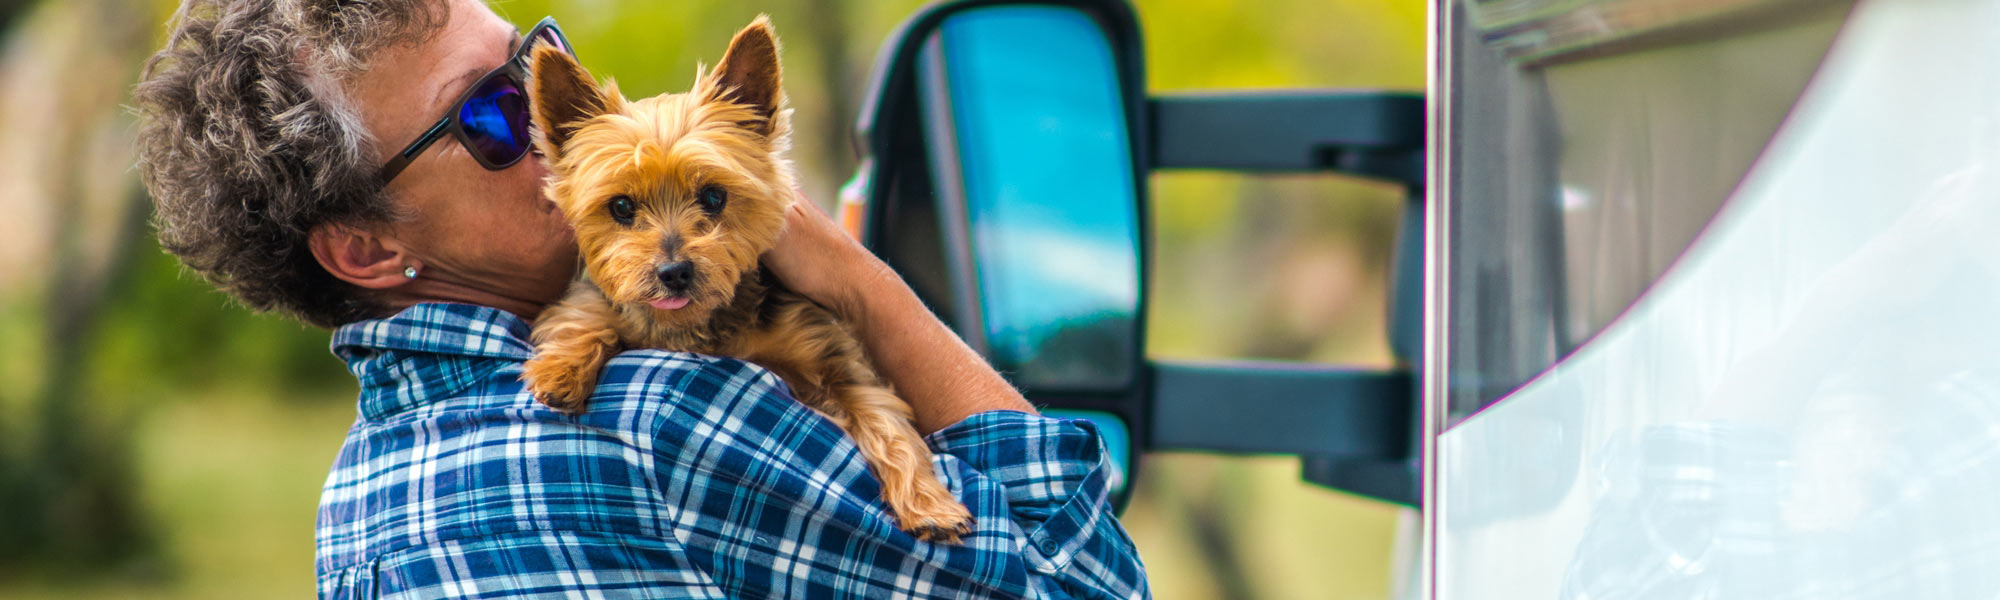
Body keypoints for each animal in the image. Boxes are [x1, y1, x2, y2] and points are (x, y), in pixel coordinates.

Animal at [524, 18, 976, 544]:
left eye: (714, 196)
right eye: (620, 206)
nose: (674, 273)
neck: (703, 327)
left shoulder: (834, 357)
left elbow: (885, 421)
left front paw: (929, 505)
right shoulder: (606, 300)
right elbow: (583, 313)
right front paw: (561, 369)